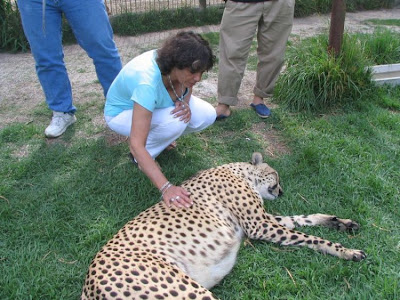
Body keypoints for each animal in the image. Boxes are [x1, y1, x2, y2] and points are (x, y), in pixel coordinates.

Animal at [81, 152, 366, 300]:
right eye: (276, 175)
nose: (281, 191)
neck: (240, 172)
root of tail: (88, 285)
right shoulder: (259, 225)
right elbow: (309, 236)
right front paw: (345, 250)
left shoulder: (262, 221)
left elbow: (303, 219)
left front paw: (340, 222)